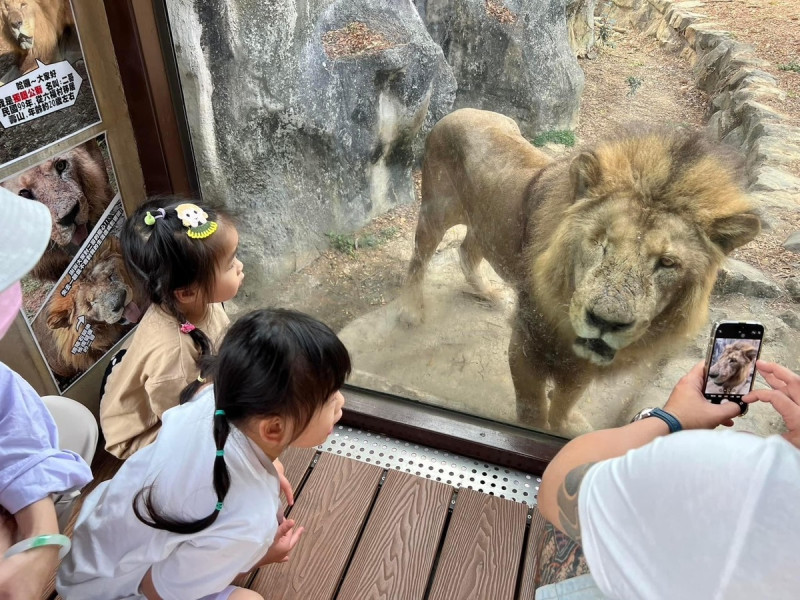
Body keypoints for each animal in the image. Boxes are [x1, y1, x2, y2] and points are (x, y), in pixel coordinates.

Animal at [404, 109, 760, 432]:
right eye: (598, 241)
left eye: (668, 263)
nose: (605, 322)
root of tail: (456, 112)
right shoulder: (525, 346)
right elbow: (533, 408)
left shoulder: (582, 362)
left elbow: (566, 399)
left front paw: (567, 424)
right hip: (438, 209)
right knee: (418, 259)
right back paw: (412, 312)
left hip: (488, 222)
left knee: (467, 251)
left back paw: (491, 294)